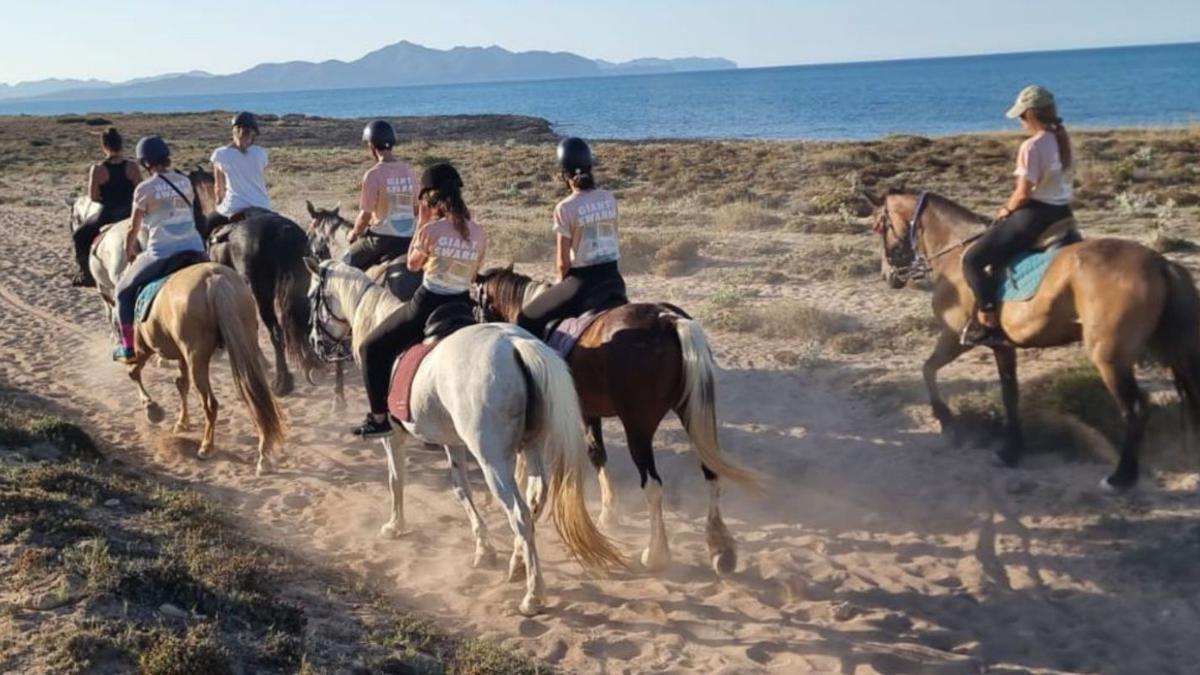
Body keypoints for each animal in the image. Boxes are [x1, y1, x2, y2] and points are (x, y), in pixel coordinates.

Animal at [124, 260, 285, 475]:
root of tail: (214, 279)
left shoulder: (144, 349)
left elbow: (134, 373)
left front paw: (152, 409)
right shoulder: (181, 357)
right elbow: (181, 384)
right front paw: (182, 422)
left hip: (197, 359)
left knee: (210, 403)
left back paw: (207, 446)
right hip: (245, 343)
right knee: (258, 396)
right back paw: (264, 452)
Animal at [304, 258, 628, 614]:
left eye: (312, 297)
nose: (315, 343)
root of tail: (518, 346)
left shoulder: (394, 436)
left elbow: (396, 479)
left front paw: (395, 525)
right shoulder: (452, 441)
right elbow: (461, 489)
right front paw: (484, 548)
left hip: (493, 462)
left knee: (520, 514)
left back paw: (533, 594)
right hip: (530, 449)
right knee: (535, 501)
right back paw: (518, 564)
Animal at [472, 265, 753, 569]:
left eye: (476, 302)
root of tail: (667, 319)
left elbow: (584, 454)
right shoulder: (590, 411)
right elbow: (597, 453)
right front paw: (609, 513)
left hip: (637, 427)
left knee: (653, 485)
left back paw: (656, 553)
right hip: (691, 413)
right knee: (711, 471)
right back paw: (720, 547)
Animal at [873, 189, 1200, 487]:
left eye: (880, 226)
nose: (888, 276)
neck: (954, 252)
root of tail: (1160, 262)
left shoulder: (954, 336)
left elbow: (928, 369)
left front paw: (946, 421)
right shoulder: (1003, 346)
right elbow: (1010, 394)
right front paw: (1011, 451)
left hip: (1110, 357)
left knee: (1135, 409)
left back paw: (1121, 478)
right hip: (1161, 349)